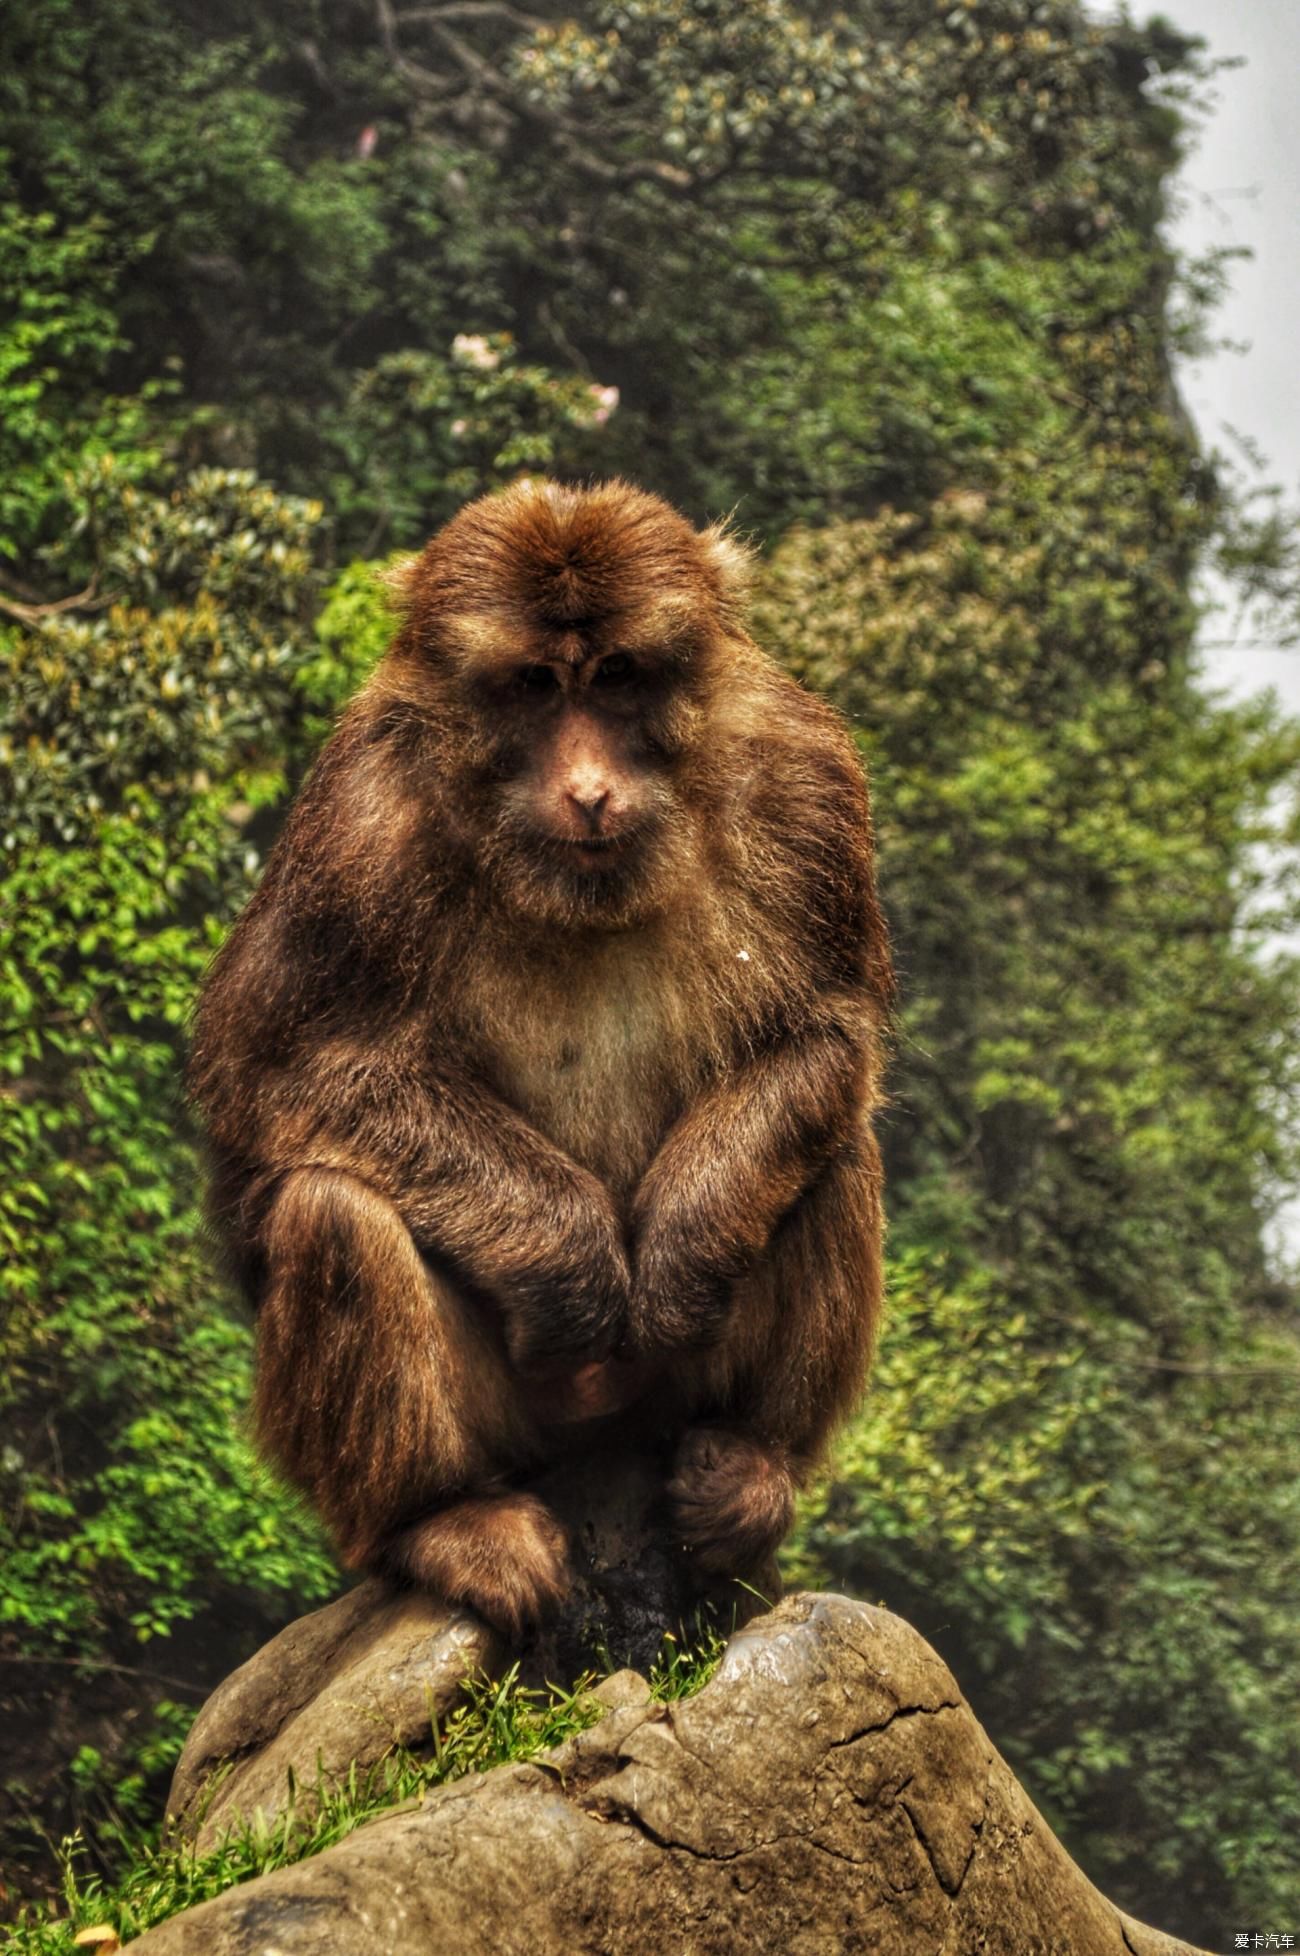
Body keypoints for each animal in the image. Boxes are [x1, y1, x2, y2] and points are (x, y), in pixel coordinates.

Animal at [187, 477, 887, 1635]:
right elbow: (279, 1069)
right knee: (332, 1211)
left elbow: (822, 1030)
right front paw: (573, 1265)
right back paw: (440, 1519)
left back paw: (750, 1463)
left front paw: (681, 1249)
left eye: (617, 677)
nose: (590, 791)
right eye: (529, 685)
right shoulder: (359, 824)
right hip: (519, 1422)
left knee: (831, 1151)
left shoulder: (804, 775)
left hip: (661, 1398)